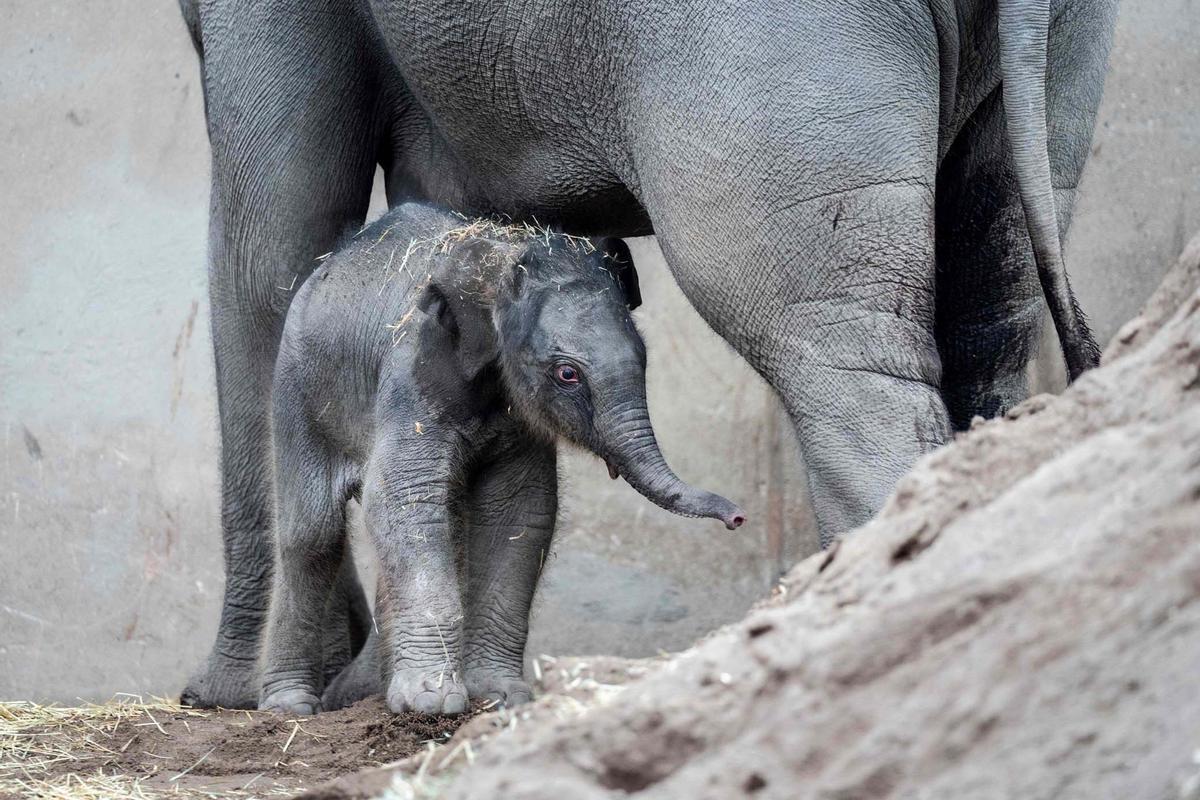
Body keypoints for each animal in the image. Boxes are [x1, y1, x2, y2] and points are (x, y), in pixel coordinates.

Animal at [265, 203, 739, 714]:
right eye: (567, 374)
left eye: (645, 358)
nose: (737, 517)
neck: (506, 248)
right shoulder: (414, 373)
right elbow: (403, 500)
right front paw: (432, 703)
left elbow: (520, 510)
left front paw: (499, 697)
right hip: (297, 389)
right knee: (311, 535)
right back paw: (291, 706)